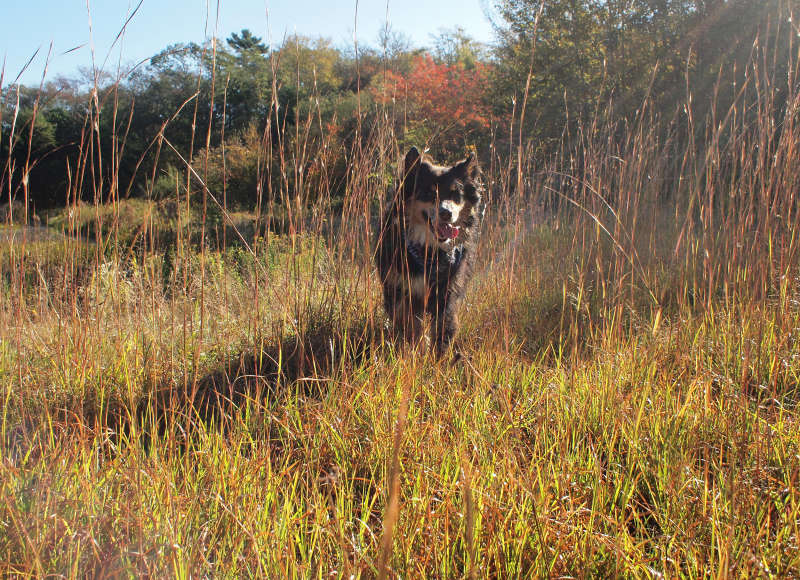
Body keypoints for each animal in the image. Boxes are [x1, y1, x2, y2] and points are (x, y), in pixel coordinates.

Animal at [374, 147, 482, 356]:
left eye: (456, 195)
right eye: (429, 193)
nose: (446, 213)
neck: (429, 252)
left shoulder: (447, 293)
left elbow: (443, 329)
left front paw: (436, 358)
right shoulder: (400, 288)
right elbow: (409, 325)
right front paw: (415, 350)